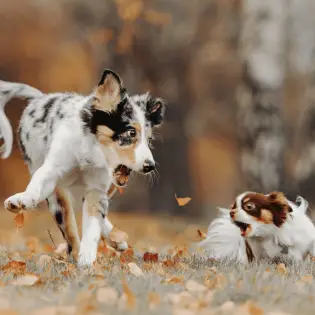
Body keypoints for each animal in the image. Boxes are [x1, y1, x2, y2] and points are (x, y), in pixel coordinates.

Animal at [0, 70, 167, 268]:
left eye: (149, 140)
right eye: (131, 132)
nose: (150, 166)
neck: (91, 153)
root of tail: (39, 98)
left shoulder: (97, 188)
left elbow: (93, 224)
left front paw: (87, 259)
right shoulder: (52, 171)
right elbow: (39, 187)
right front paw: (20, 201)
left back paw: (115, 239)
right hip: (55, 190)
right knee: (67, 222)